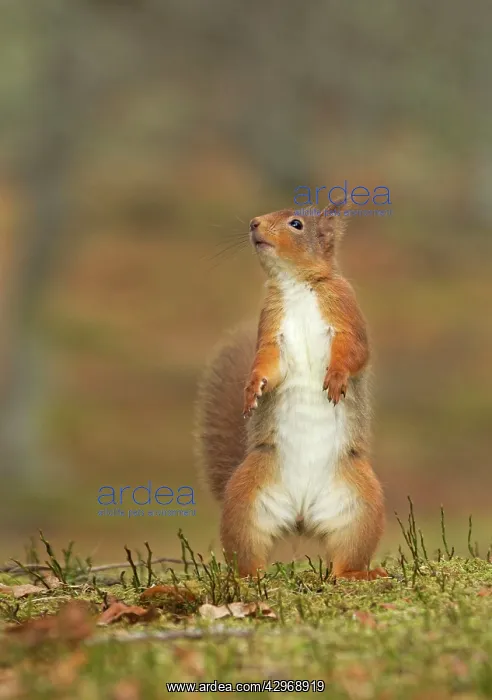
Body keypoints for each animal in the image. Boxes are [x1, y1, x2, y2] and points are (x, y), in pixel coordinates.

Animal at [195, 201, 387, 580]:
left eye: (296, 224)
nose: (254, 223)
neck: (297, 286)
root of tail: (302, 516)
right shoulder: (271, 329)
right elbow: (268, 364)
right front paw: (252, 388)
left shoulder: (346, 312)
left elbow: (355, 351)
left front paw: (337, 377)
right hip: (245, 503)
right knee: (247, 554)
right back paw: (250, 577)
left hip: (362, 506)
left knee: (345, 561)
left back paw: (361, 574)